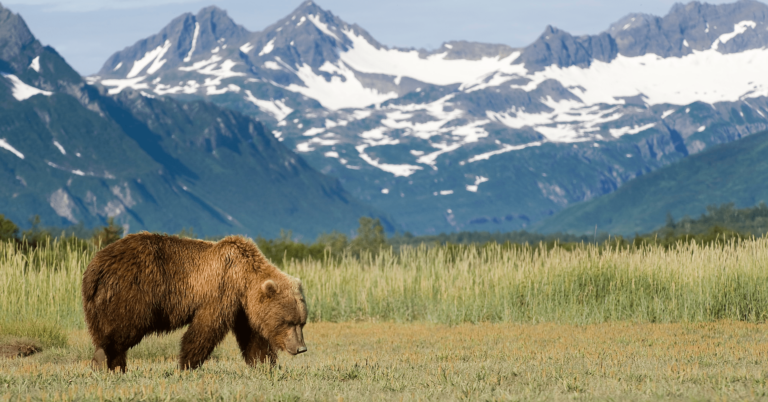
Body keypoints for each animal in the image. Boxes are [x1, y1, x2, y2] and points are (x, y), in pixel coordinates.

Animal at [81, 232, 307, 372]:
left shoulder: (243, 309)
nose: (301, 348)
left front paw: (266, 365)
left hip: (99, 301)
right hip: (133, 292)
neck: (243, 279)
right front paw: (186, 365)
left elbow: (253, 338)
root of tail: (96, 265)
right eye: (288, 322)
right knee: (123, 328)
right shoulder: (220, 291)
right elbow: (205, 329)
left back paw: (114, 365)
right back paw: (104, 360)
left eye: (302, 322)